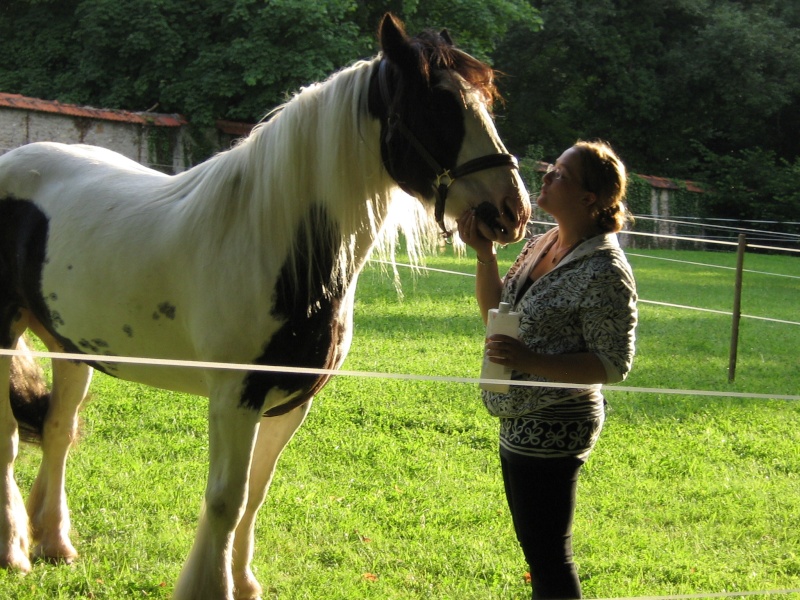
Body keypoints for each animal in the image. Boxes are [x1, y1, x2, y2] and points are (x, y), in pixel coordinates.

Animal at [1, 14, 532, 600]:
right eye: (438, 104)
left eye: (485, 99)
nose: (511, 210)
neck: (274, 243)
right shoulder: (235, 397)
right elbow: (225, 500)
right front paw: (211, 585)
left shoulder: (290, 401)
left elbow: (255, 493)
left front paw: (243, 579)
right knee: (9, 440)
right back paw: (15, 551)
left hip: (69, 347)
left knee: (57, 431)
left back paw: (53, 543)